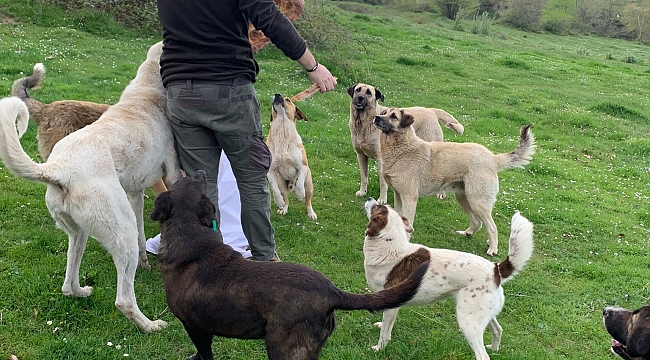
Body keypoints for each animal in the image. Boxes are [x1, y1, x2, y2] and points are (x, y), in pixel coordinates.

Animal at [149, 171, 428, 360]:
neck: (192, 238)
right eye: (189, 182)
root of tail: (331, 291)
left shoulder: (195, 327)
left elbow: (204, 353)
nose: (199, 171)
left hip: (284, 349)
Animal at [360, 198, 532, 358]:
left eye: (375, 208)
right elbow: (386, 326)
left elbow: (385, 333)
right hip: (483, 315)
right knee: (498, 330)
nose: (370, 198)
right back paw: (494, 348)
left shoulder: (391, 303)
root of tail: (495, 269)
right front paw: (380, 326)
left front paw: (378, 349)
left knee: (482, 355)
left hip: (468, 323)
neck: (390, 246)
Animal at [372, 108, 536, 255]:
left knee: (492, 226)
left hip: (477, 202)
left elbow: (407, 224)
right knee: (478, 223)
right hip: (464, 198)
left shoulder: (409, 198)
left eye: (393, 116)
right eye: (384, 113)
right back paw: (468, 234)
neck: (403, 149)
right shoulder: (398, 195)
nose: (376, 117)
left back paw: (493, 249)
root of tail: (493, 158)